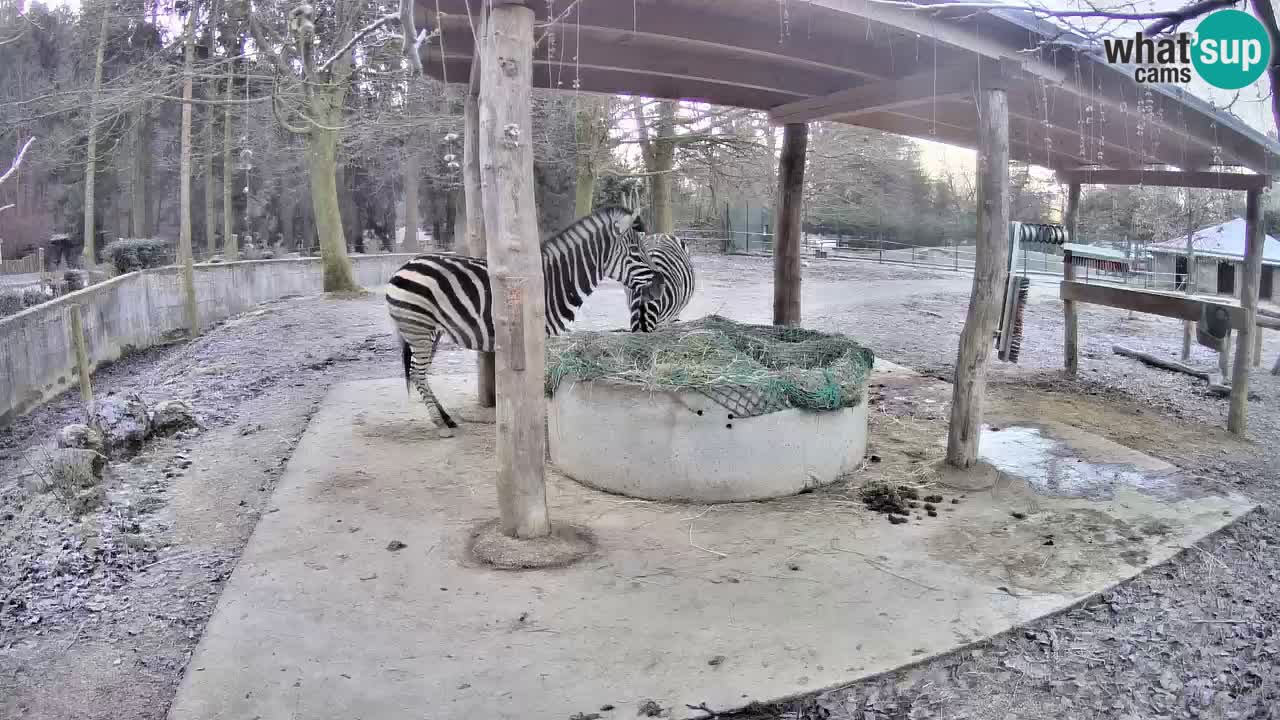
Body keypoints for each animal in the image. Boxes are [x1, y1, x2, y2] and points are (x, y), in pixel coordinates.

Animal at [381, 204, 660, 435]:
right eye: (635, 251)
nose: (658, 285)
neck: (556, 280)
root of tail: (403, 266)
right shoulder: (539, 334)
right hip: (418, 328)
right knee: (417, 373)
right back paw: (440, 425)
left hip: (429, 332)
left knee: (420, 374)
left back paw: (447, 418)